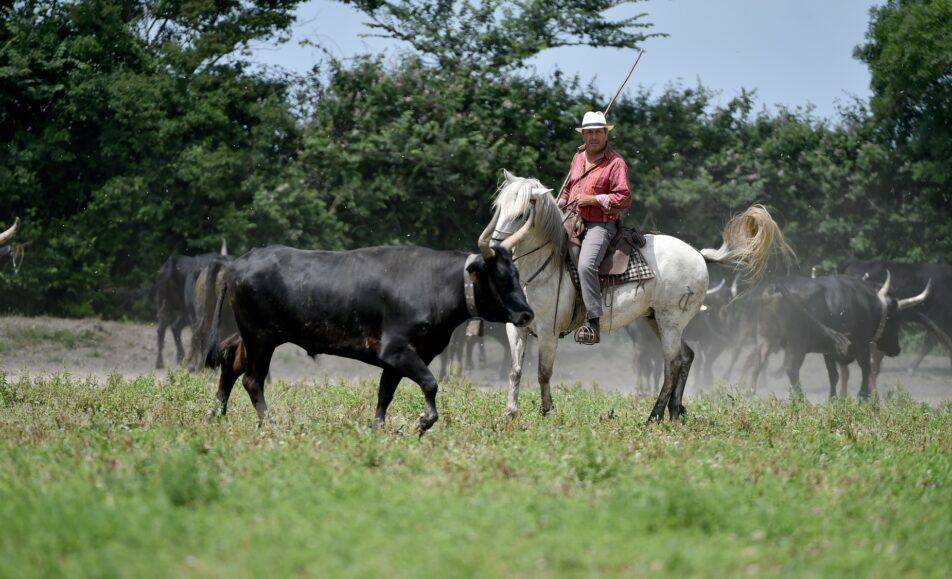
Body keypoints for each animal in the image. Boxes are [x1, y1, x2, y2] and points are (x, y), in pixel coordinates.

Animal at [205, 241, 536, 436]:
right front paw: (422, 422)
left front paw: (377, 428)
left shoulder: (406, 356)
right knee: (252, 380)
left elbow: (384, 393)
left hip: (256, 336)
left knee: (230, 360)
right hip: (260, 337)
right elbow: (430, 383)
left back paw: (216, 413)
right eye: (502, 277)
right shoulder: (396, 350)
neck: (436, 283)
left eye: (517, 275)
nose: (527, 314)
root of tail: (236, 264)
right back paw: (270, 425)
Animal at [476, 171, 796, 422]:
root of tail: (698, 255)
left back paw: (654, 415)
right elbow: (515, 370)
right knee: (687, 357)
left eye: (521, 214)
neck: (543, 266)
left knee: (672, 364)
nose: (494, 247)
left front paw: (547, 412)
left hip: (670, 322)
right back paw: (675, 411)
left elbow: (543, 372)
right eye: (498, 207)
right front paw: (510, 412)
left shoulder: (548, 332)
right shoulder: (517, 328)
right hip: (655, 320)